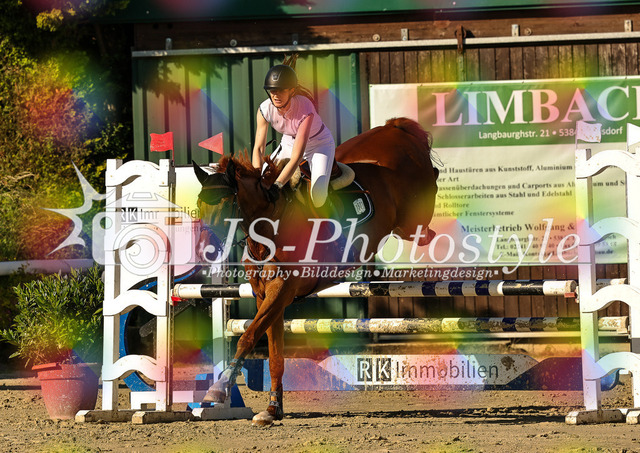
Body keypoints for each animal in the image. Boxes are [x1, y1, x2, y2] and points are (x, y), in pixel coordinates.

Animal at [192, 117, 439, 426]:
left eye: (226, 205)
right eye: (199, 204)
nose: (205, 251)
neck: (270, 226)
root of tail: (394, 128)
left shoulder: (281, 292)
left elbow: (249, 336)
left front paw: (218, 389)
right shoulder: (265, 297)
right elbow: (274, 352)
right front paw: (273, 409)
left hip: (412, 217)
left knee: (425, 209)